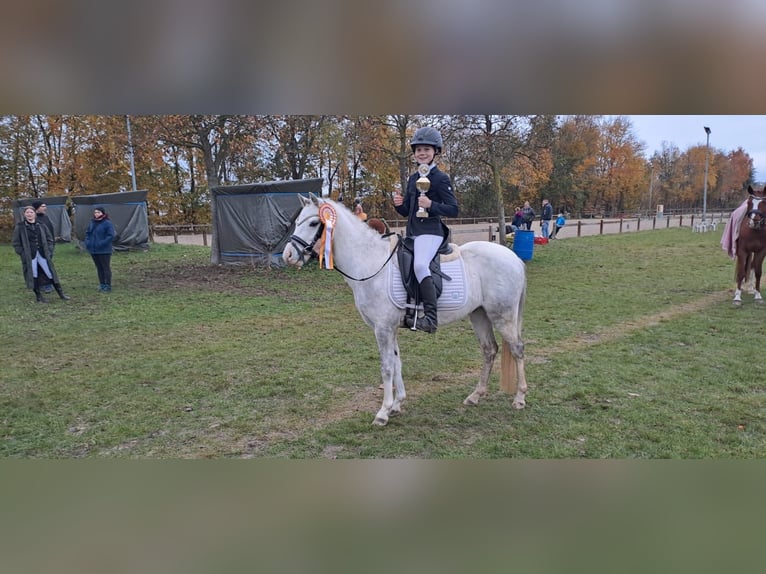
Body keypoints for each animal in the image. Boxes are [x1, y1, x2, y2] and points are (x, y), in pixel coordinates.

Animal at [283, 194, 528, 426]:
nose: (288, 256)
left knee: (517, 349)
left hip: (503, 317)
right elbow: (397, 362)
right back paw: (476, 396)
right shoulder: (390, 328)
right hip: (479, 315)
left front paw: (383, 412)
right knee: (489, 350)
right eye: (297, 221)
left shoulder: (382, 328)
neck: (371, 264)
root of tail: (514, 258)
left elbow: (386, 367)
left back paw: (519, 398)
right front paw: (397, 405)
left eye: (314, 223)